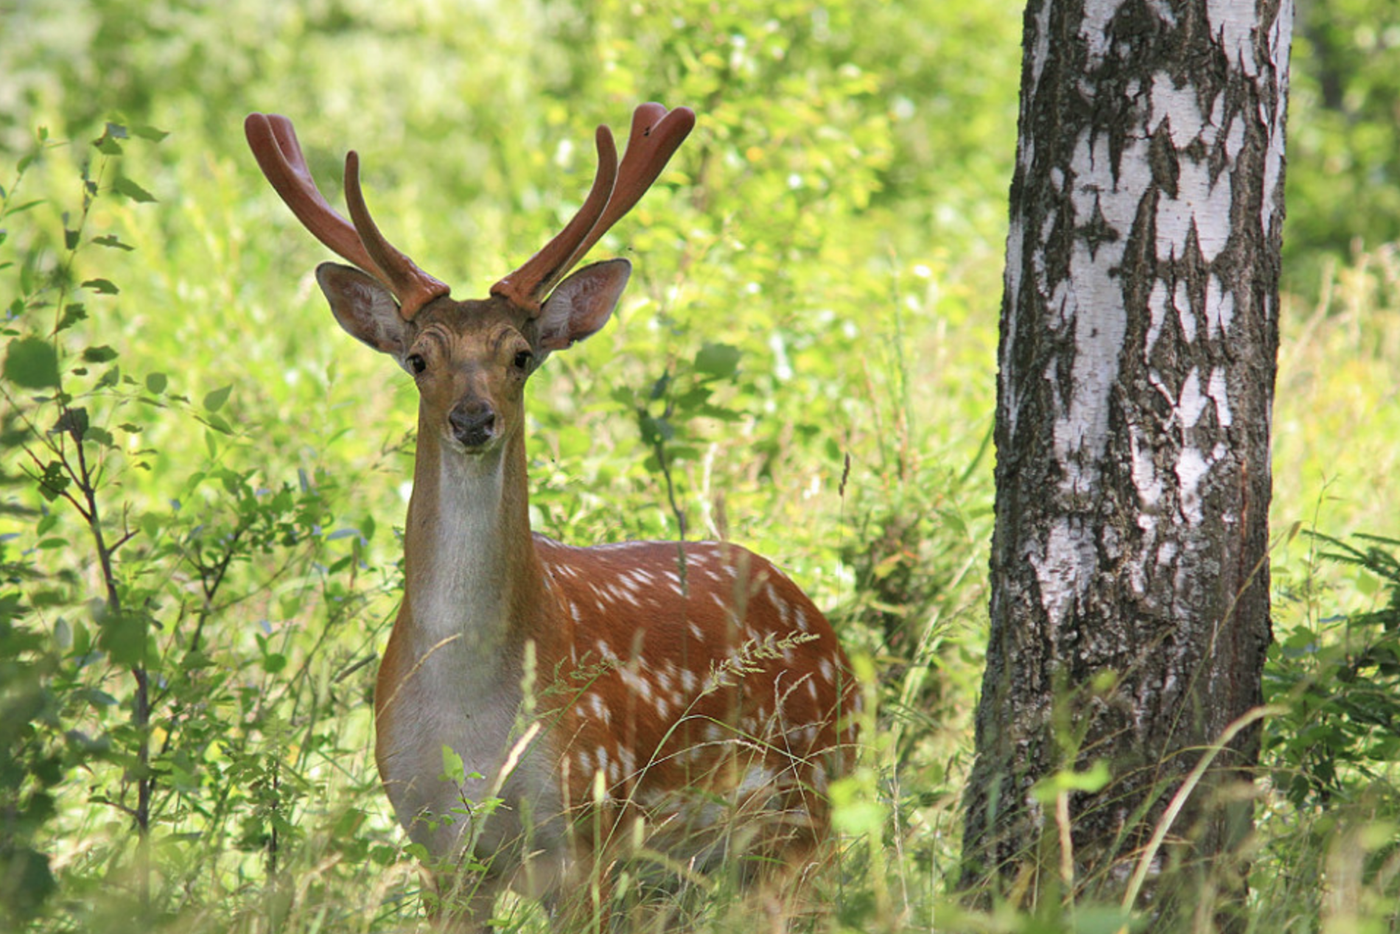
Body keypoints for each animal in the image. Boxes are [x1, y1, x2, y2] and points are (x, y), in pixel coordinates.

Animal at [246, 107, 856, 929]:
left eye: (521, 355)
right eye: (418, 358)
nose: (473, 419)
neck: (473, 719)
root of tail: (821, 622)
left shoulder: (589, 826)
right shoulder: (435, 843)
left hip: (806, 807)